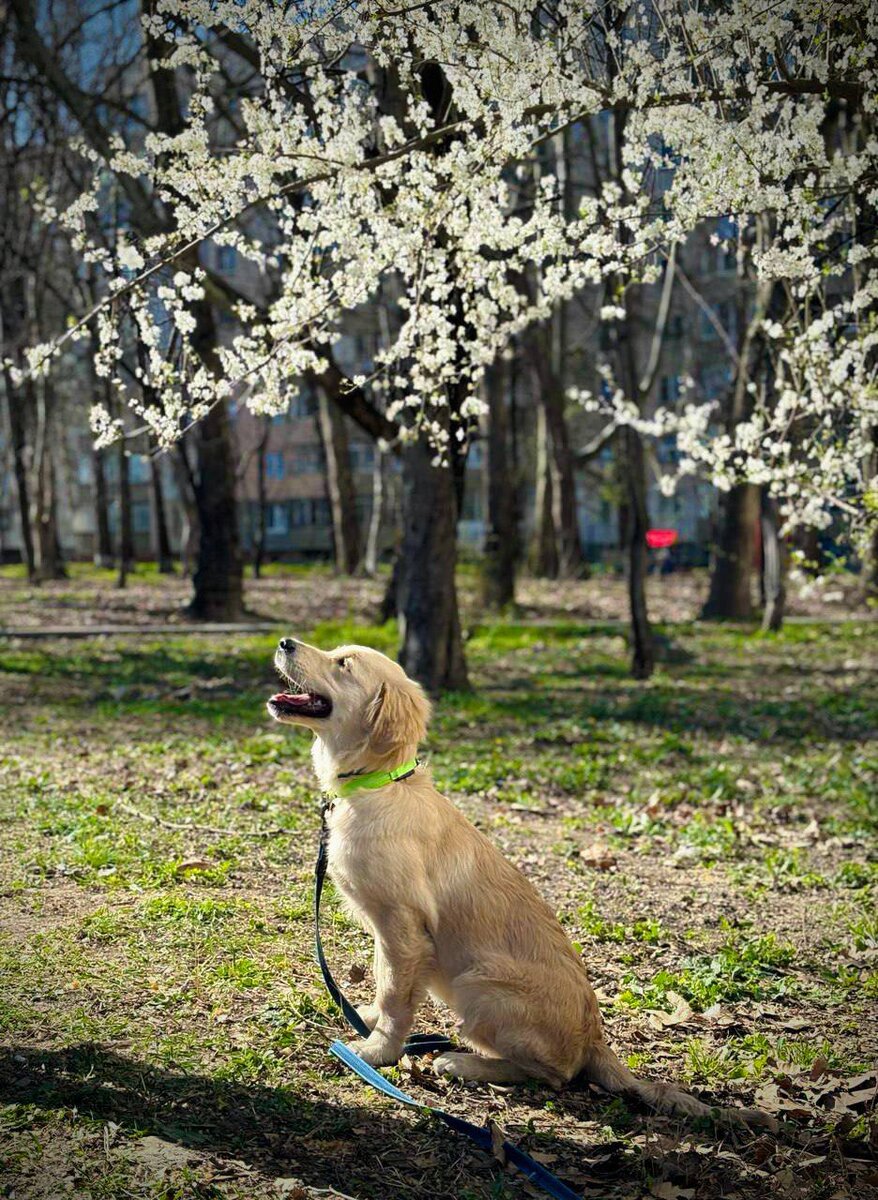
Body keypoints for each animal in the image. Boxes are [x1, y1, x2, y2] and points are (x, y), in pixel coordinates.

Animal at [268, 638, 777, 1123]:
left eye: (343, 664)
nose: (285, 642)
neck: (379, 784)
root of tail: (593, 1039)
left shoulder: (402, 924)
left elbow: (397, 997)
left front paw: (377, 1051)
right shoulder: (389, 933)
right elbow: (384, 980)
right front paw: (367, 1016)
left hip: (479, 984)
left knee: (553, 1075)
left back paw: (462, 1062)